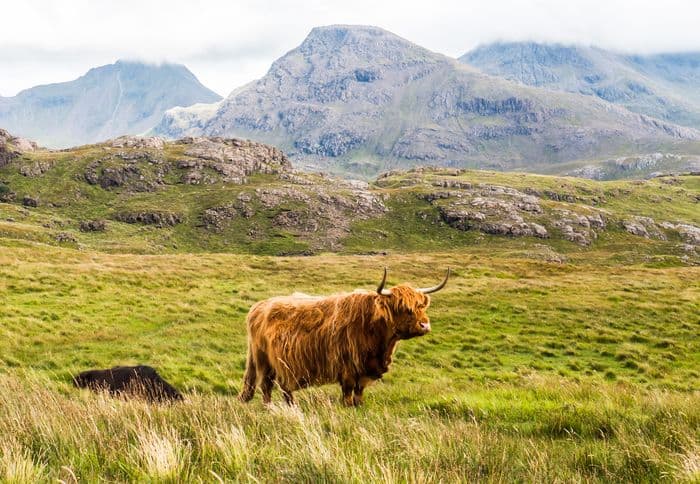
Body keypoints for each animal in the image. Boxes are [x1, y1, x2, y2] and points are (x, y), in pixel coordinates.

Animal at [238, 268, 452, 404]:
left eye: (421, 306)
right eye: (403, 308)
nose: (425, 325)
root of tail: (259, 306)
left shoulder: (363, 372)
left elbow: (358, 397)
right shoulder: (348, 369)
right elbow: (347, 398)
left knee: (284, 388)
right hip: (264, 361)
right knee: (266, 386)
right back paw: (270, 408)